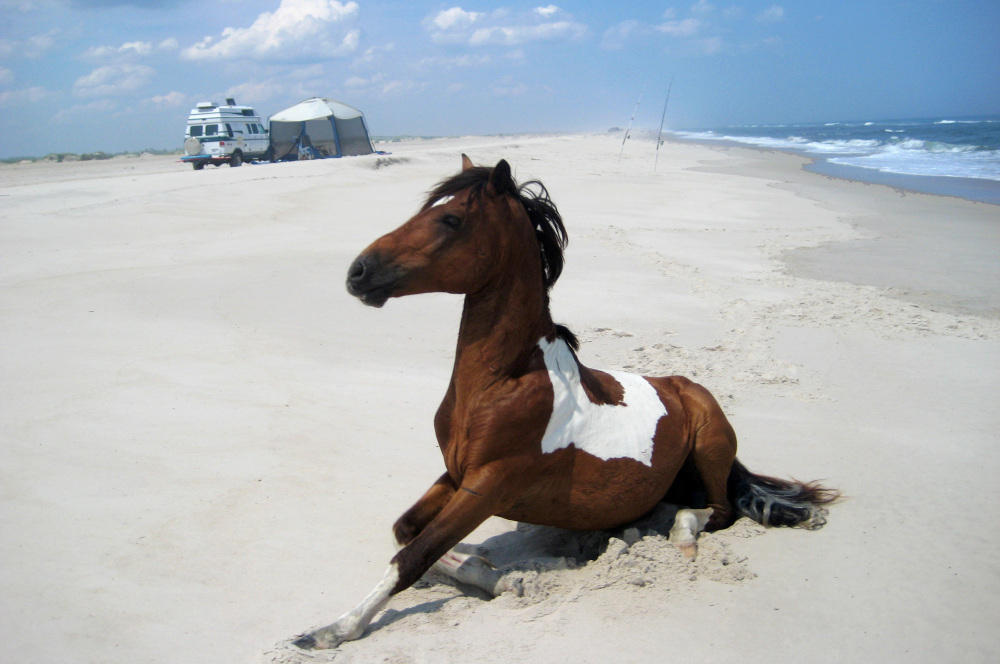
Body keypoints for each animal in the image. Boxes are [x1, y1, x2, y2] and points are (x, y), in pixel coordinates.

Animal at [293, 155, 837, 650]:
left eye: (450, 220)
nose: (358, 272)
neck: (503, 382)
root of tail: (686, 387)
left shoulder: (488, 485)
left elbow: (412, 556)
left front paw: (332, 630)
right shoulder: (454, 474)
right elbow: (406, 532)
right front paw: (499, 576)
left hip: (709, 441)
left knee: (717, 509)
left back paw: (674, 534)